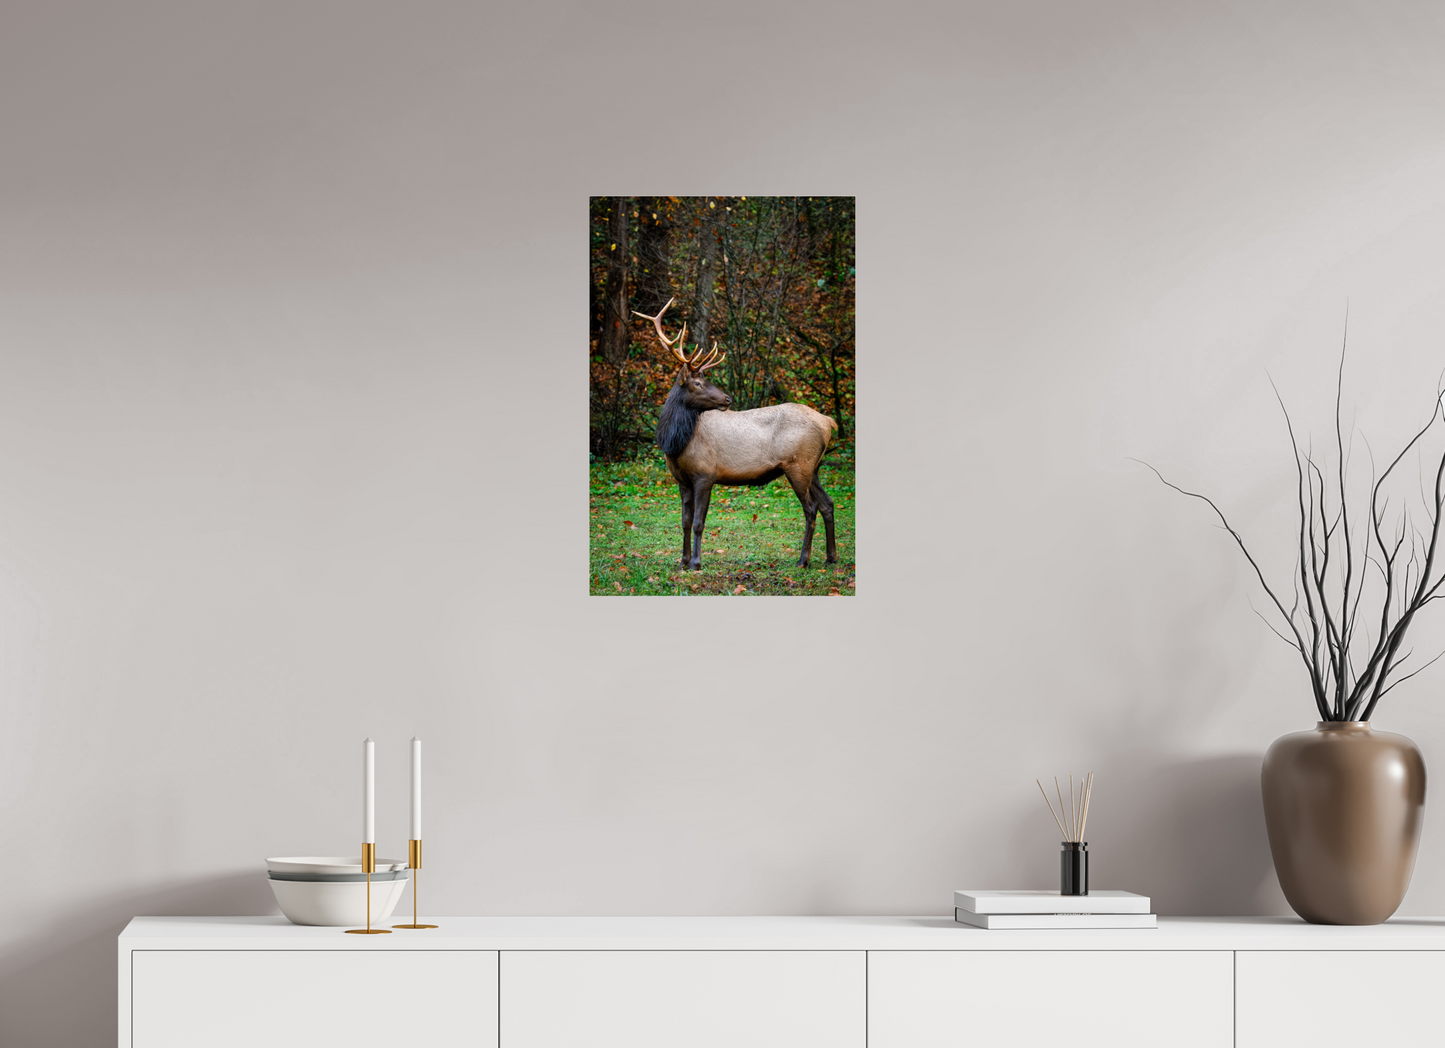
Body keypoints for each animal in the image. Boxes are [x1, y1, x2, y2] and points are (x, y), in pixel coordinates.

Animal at [634, 298, 838, 572]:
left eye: (704, 380)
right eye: (697, 383)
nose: (727, 398)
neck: (676, 444)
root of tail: (828, 422)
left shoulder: (706, 474)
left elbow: (698, 522)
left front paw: (696, 562)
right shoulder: (682, 480)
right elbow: (684, 521)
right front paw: (682, 561)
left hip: (798, 465)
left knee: (811, 507)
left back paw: (803, 560)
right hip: (814, 467)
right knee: (827, 504)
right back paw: (830, 557)